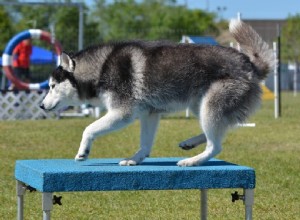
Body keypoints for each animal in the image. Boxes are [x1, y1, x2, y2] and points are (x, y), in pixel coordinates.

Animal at [40, 19, 274, 167]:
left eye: (52, 86)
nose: (41, 105)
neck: (101, 68)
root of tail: (250, 65)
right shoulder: (149, 114)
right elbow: (145, 143)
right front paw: (135, 159)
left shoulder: (122, 113)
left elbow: (88, 129)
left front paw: (83, 152)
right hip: (199, 106)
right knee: (221, 131)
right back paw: (190, 143)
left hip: (210, 106)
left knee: (215, 145)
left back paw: (192, 161)